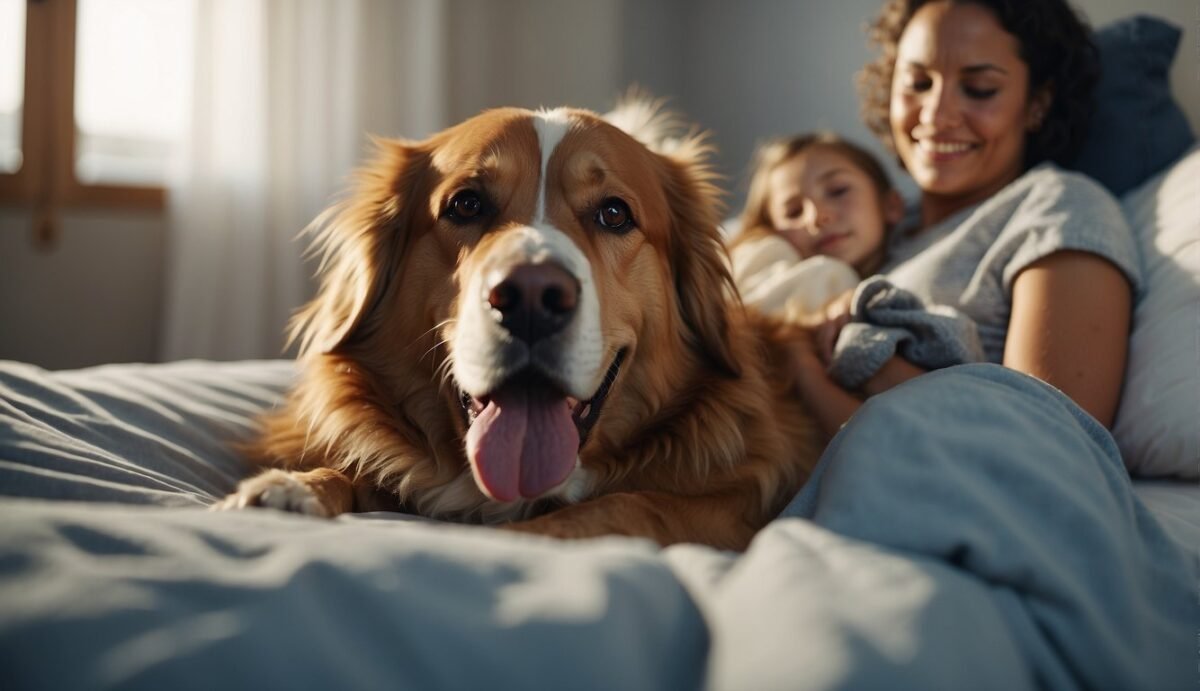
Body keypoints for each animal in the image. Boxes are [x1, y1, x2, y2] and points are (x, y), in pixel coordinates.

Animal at [213, 98, 825, 551]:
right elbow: (360, 473)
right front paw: (297, 490)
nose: (532, 296)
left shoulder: (732, 511)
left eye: (614, 213)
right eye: (465, 204)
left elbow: (627, 506)